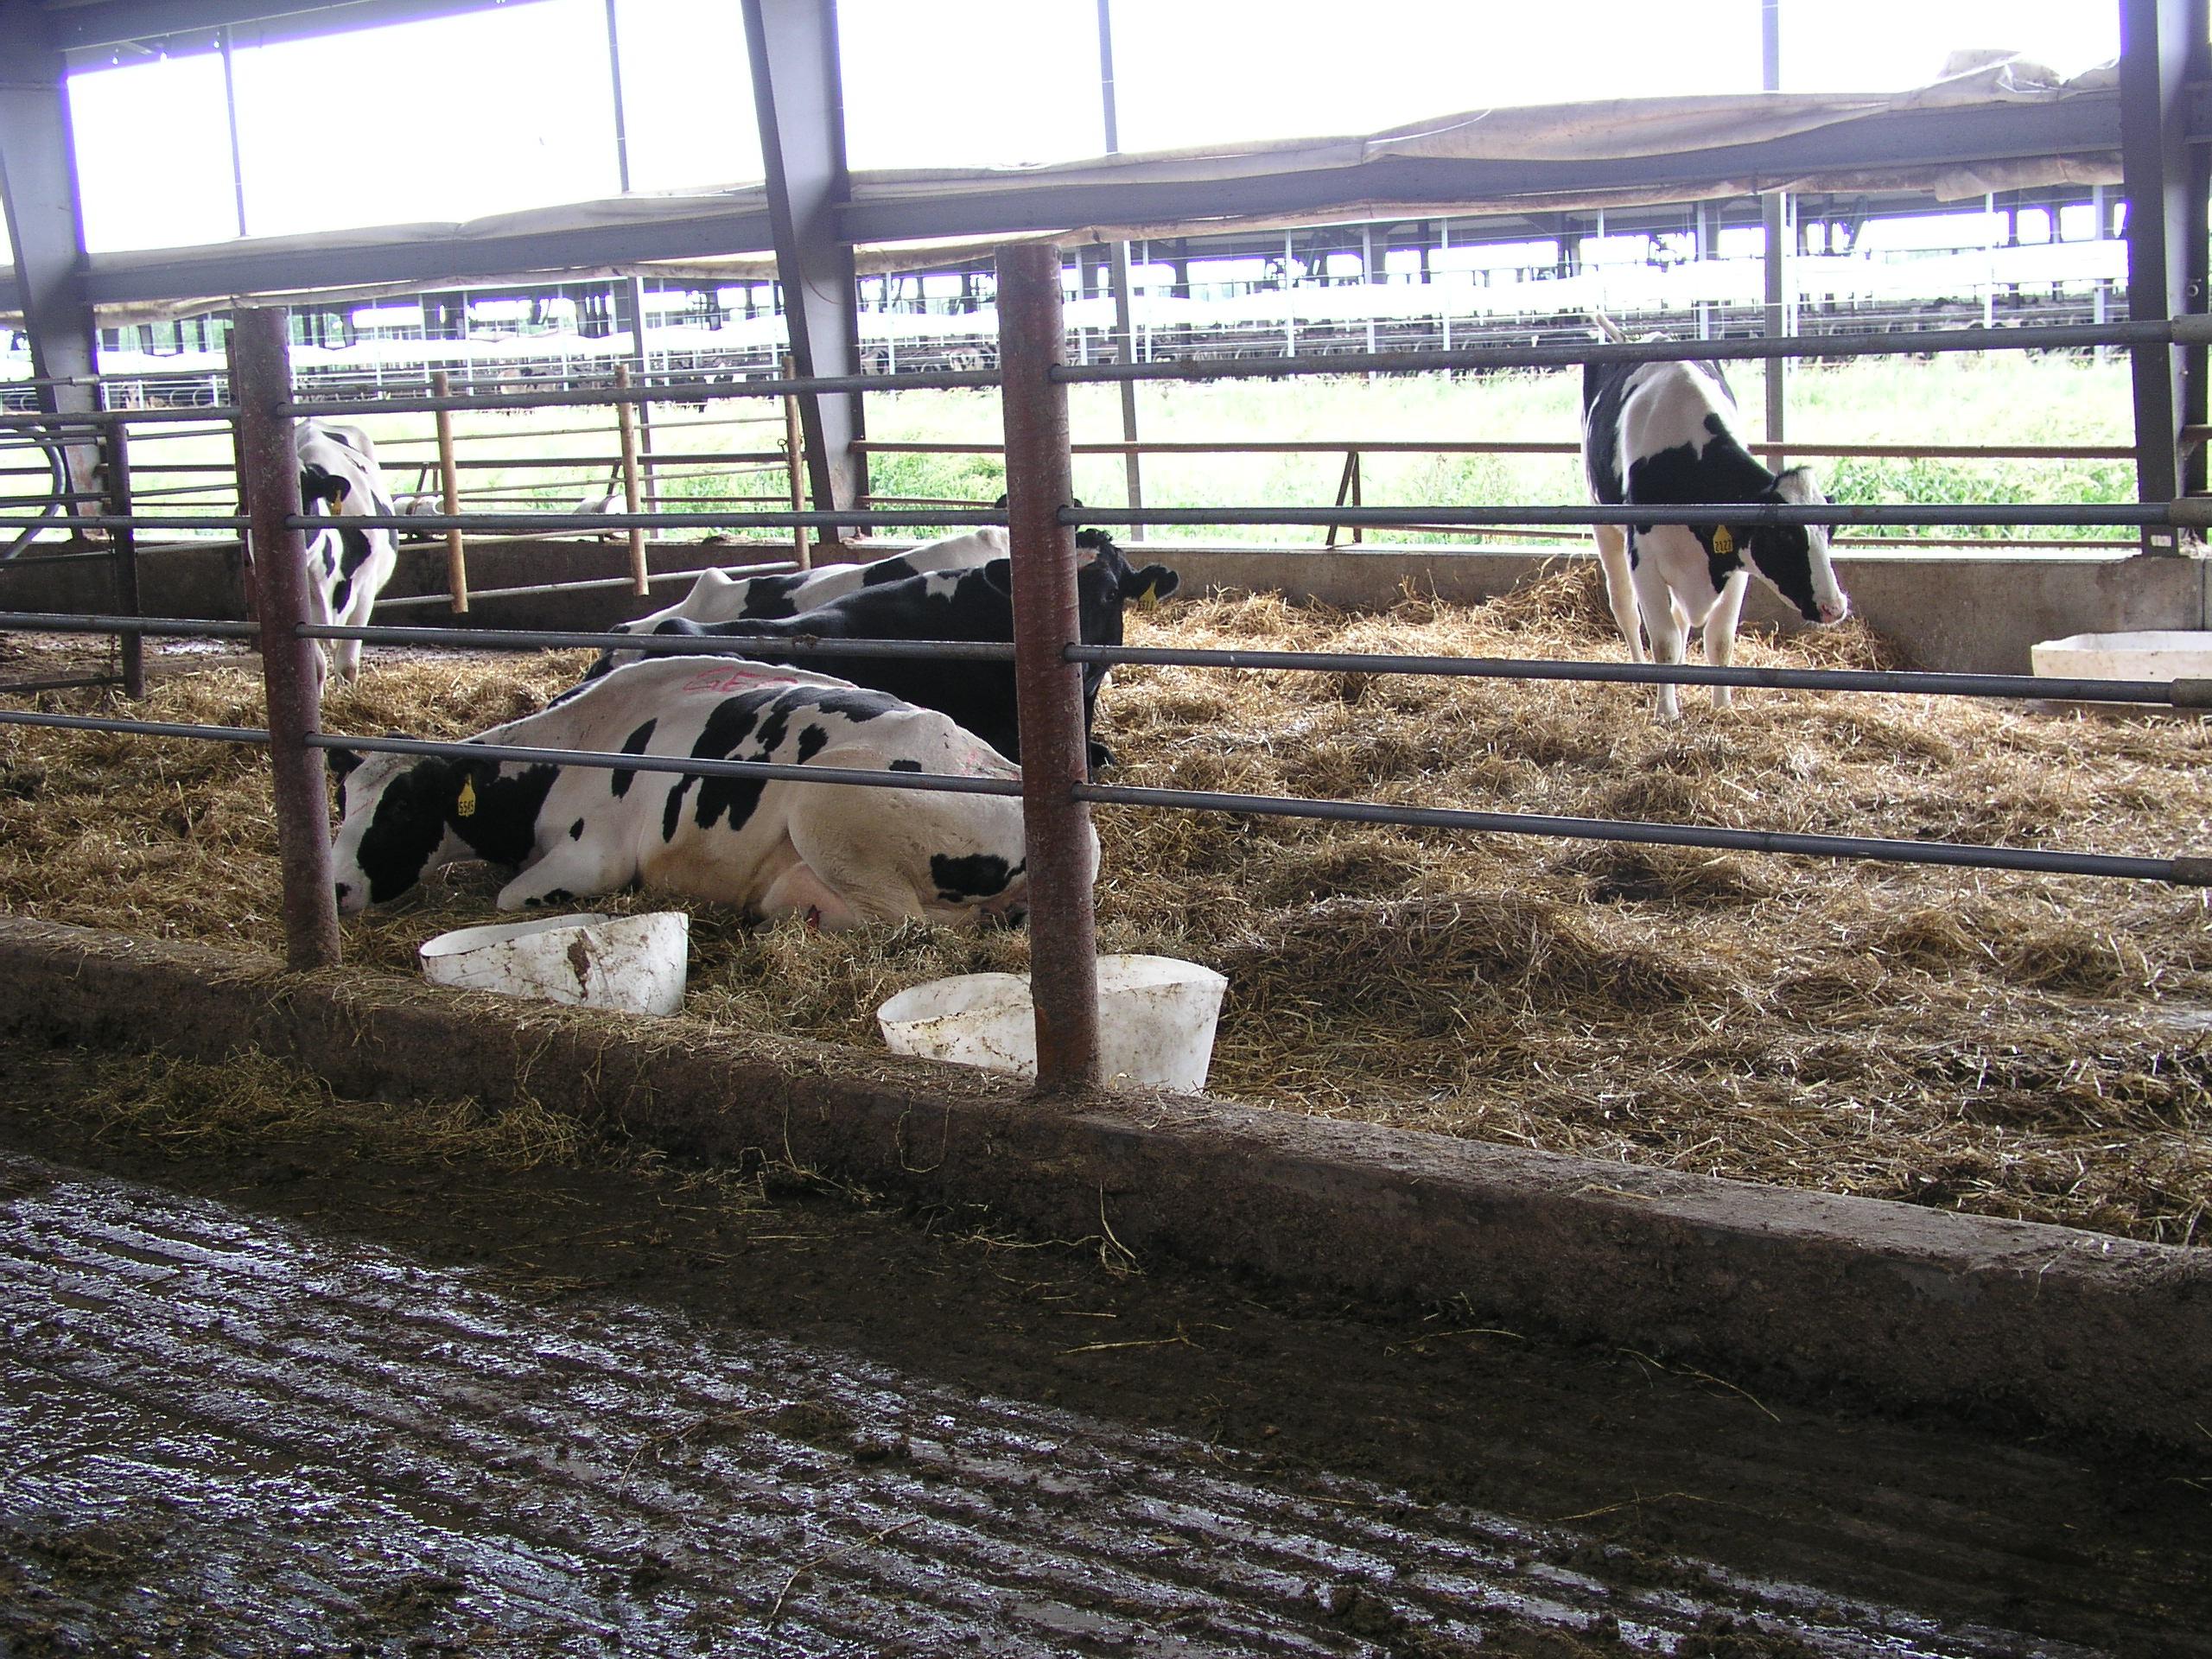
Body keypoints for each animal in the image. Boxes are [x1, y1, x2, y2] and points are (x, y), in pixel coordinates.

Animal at [329, 654, 1088, 929]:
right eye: (342, 802)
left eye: (401, 809)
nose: (333, 888)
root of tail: (1002, 772)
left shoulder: (594, 858)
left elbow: (510, 897)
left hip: (825, 806)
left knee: (905, 922)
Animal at [1583, 358, 1840, 721]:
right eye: (1782, 537)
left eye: (1830, 531)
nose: (1835, 607)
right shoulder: (1644, 562)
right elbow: (1664, 641)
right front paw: (1667, 712)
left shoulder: (1733, 563)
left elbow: (1720, 640)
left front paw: (1722, 706)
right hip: (1603, 524)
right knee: (1624, 606)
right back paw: (1639, 671)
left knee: (1679, 617)